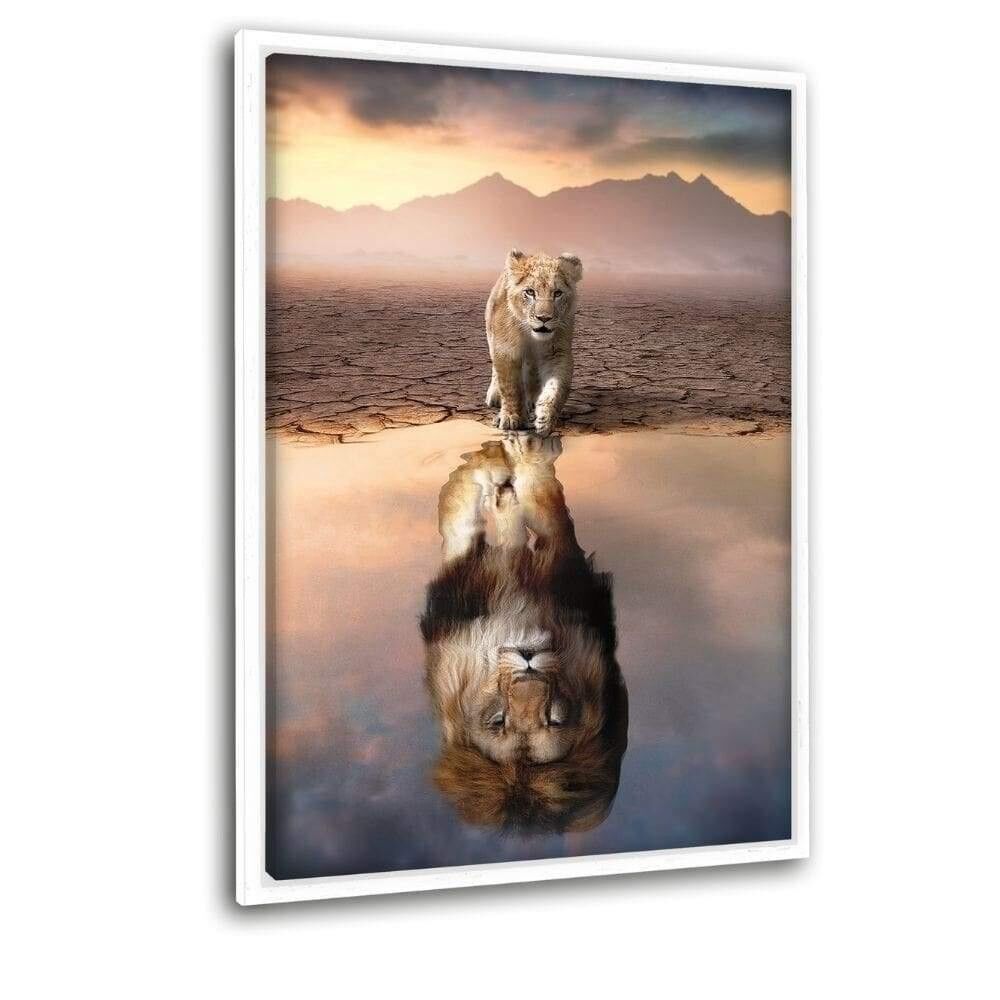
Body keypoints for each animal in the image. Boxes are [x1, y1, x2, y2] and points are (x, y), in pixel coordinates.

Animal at [421, 434, 627, 834]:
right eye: (498, 721)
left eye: (555, 719)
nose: (528, 661)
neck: (519, 616)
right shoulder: (461, 586)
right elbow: (460, 522)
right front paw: (478, 473)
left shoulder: (567, 571)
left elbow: (544, 500)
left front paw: (527, 458)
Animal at [485, 249, 584, 436]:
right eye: (530, 292)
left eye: (557, 293)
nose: (544, 318)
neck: (531, 335)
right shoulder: (506, 349)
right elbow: (510, 386)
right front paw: (511, 418)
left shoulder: (557, 353)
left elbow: (557, 388)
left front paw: (545, 419)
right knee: (496, 369)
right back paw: (495, 396)